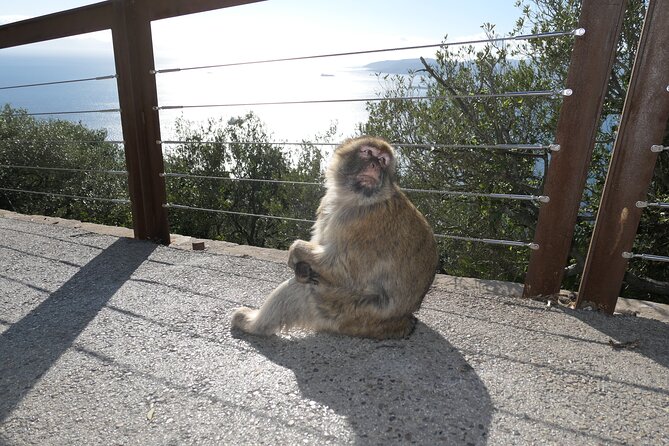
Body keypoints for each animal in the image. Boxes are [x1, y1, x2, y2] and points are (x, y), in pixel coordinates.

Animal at [231, 136, 438, 340]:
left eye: (382, 160)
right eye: (368, 152)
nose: (375, 165)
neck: (355, 199)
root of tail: (400, 322)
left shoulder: (362, 224)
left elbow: (343, 271)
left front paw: (295, 251)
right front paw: (301, 266)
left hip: (346, 312)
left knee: (304, 290)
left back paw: (252, 325)